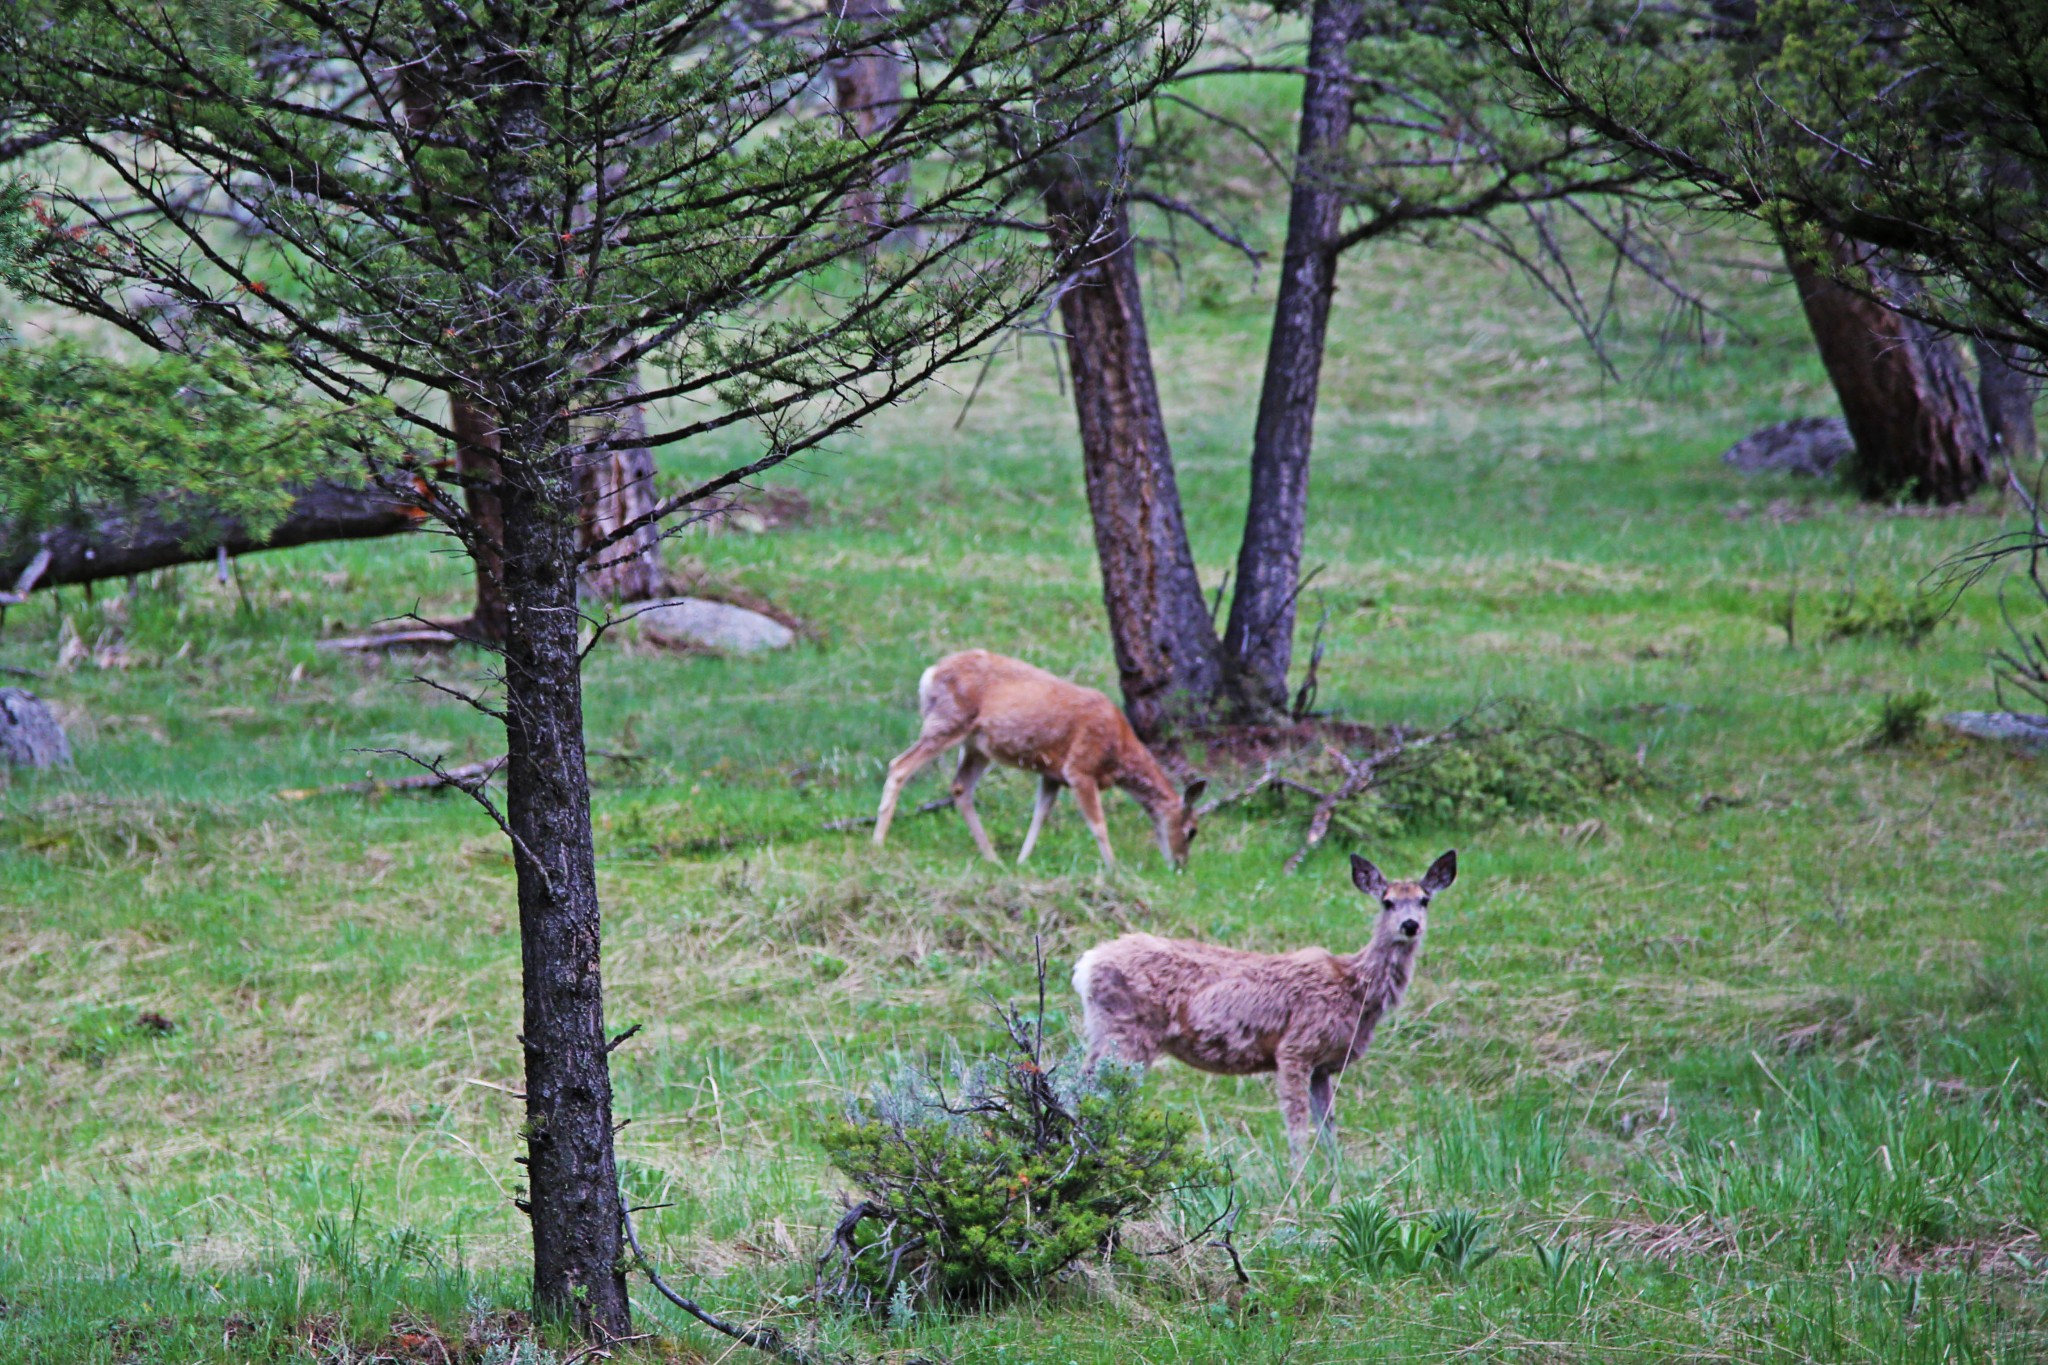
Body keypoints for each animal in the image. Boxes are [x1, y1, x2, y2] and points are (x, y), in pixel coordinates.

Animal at [868, 650, 1196, 863]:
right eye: (1192, 831)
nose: (1179, 865)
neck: (1117, 753)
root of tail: (930, 674)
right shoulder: (1079, 768)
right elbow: (1098, 825)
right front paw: (1113, 869)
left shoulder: (1052, 775)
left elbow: (1040, 816)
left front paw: (1022, 860)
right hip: (947, 721)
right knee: (899, 765)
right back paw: (878, 842)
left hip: (976, 745)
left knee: (960, 787)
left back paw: (992, 858)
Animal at [1073, 855, 1458, 1154]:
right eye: (1387, 901)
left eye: (1424, 899)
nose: (1410, 925)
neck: (1354, 988)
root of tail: (1086, 964)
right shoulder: (1295, 1048)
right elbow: (1297, 1132)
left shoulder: (1324, 1066)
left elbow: (1329, 1133)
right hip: (1127, 1035)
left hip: (1106, 1034)